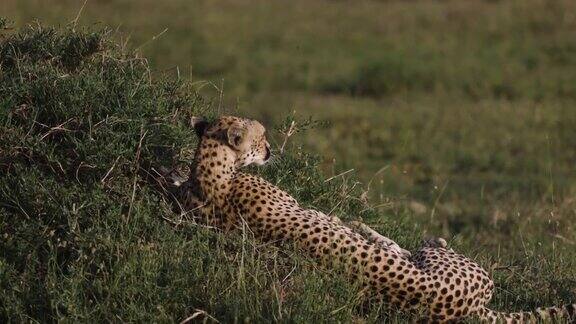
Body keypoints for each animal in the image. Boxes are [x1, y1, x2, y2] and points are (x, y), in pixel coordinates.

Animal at [164, 115, 572, 322]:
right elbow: (329, 216)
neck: (209, 173)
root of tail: (470, 309)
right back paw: (399, 235)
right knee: (417, 246)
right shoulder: (303, 208)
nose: (270, 149)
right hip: (447, 261)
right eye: (261, 136)